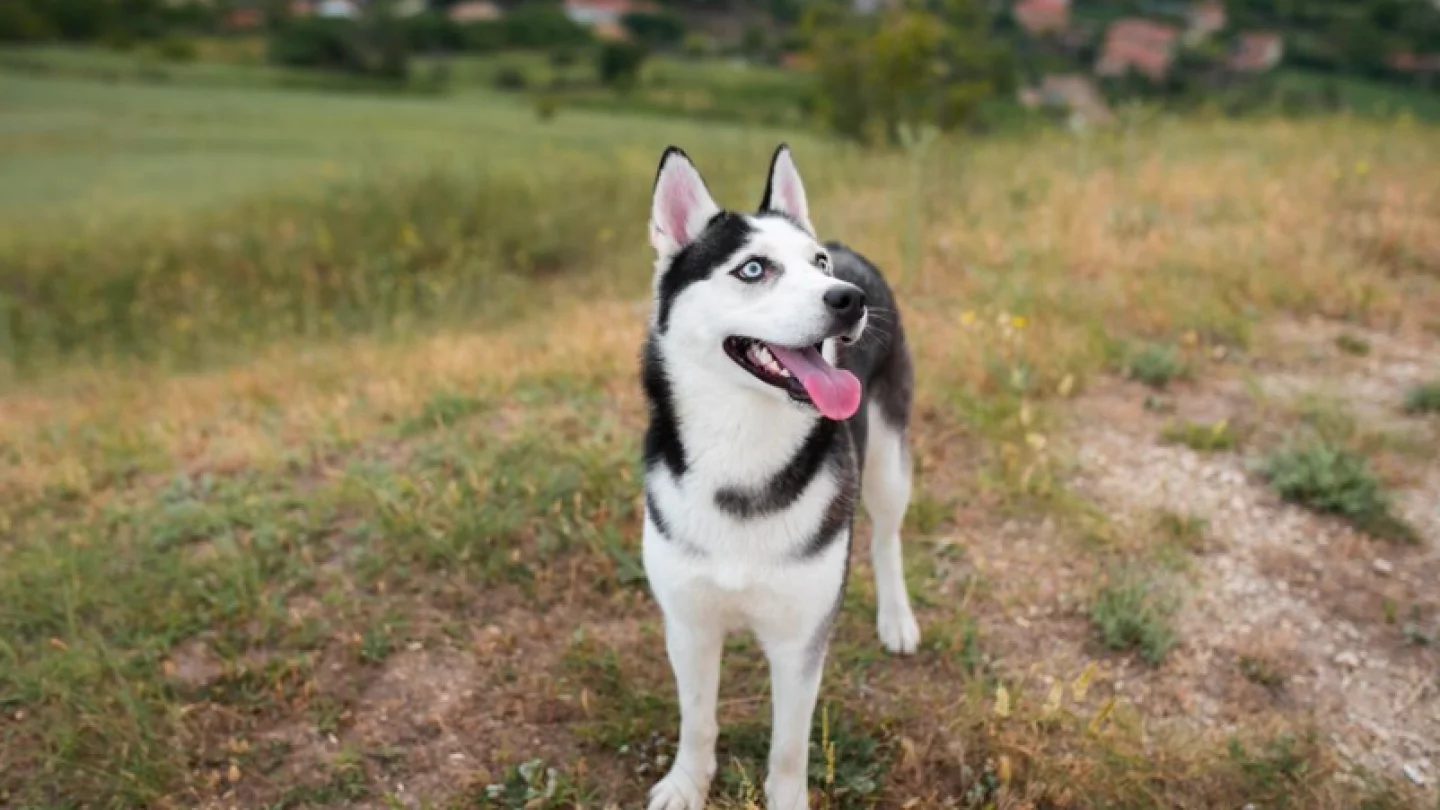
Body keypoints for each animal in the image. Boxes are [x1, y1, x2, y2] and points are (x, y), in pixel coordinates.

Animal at [642, 144, 921, 807]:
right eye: (753, 269)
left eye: (816, 265)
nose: (847, 297)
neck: (743, 451)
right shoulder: (688, 624)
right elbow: (697, 719)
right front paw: (687, 783)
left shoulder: (800, 642)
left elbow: (789, 750)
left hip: (888, 460)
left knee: (887, 536)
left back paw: (896, 617)